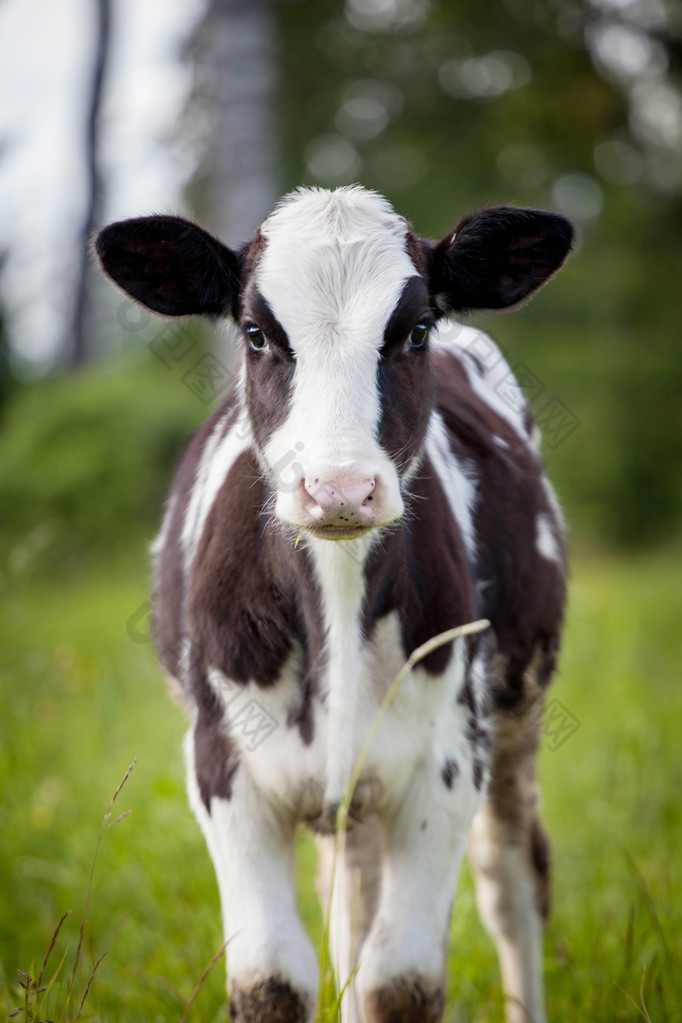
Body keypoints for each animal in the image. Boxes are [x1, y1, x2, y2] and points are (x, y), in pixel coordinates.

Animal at [96, 186, 572, 1023]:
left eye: (415, 330)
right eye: (256, 332)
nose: (340, 488)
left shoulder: (448, 764)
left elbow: (399, 980)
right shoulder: (223, 767)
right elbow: (271, 977)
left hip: (515, 716)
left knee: (511, 886)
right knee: (350, 896)